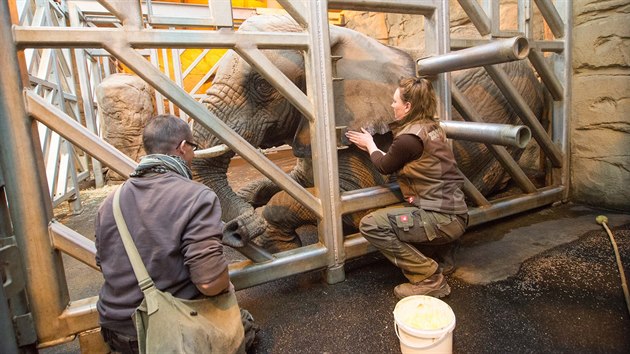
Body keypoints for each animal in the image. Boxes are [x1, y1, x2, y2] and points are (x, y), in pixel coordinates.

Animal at [193, 13, 544, 252]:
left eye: (264, 85)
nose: (234, 229)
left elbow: (347, 202)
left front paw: (271, 236)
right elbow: (293, 184)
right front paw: (252, 203)